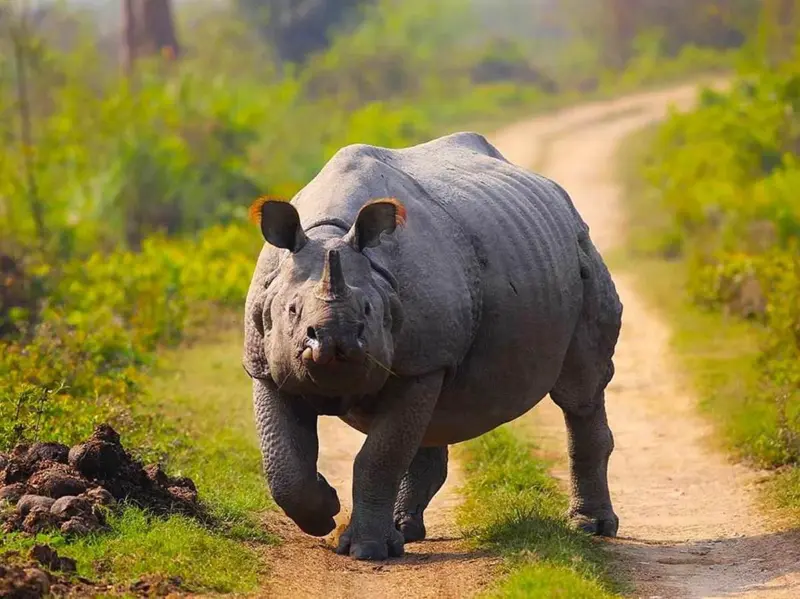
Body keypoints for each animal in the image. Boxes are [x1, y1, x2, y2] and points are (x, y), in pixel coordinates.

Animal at [243, 132, 622, 561]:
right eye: (291, 310)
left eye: (369, 310)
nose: (335, 342)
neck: (328, 233)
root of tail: (559, 197)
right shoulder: (263, 363)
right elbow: (283, 462)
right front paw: (325, 510)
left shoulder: (421, 362)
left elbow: (380, 456)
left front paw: (367, 551)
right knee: (433, 420)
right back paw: (404, 531)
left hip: (579, 248)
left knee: (580, 392)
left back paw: (592, 527)